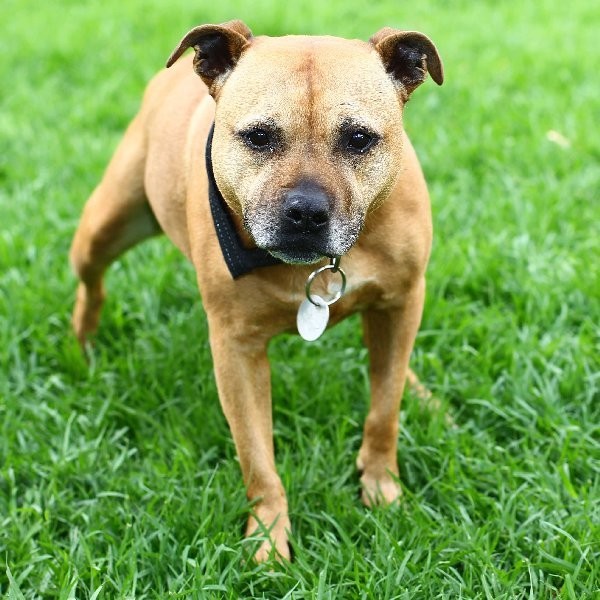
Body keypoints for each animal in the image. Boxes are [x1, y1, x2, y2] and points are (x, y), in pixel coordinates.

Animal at [70, 20, 443, 562]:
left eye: (358, 138)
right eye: (259, 137)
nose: (306, 211)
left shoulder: (401, 301)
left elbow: (384, 409)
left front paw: (381, 486)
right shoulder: (236, 350)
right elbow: (258, 461)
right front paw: (268, 540)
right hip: (106, 225)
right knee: (91, 284)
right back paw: (84, 343)